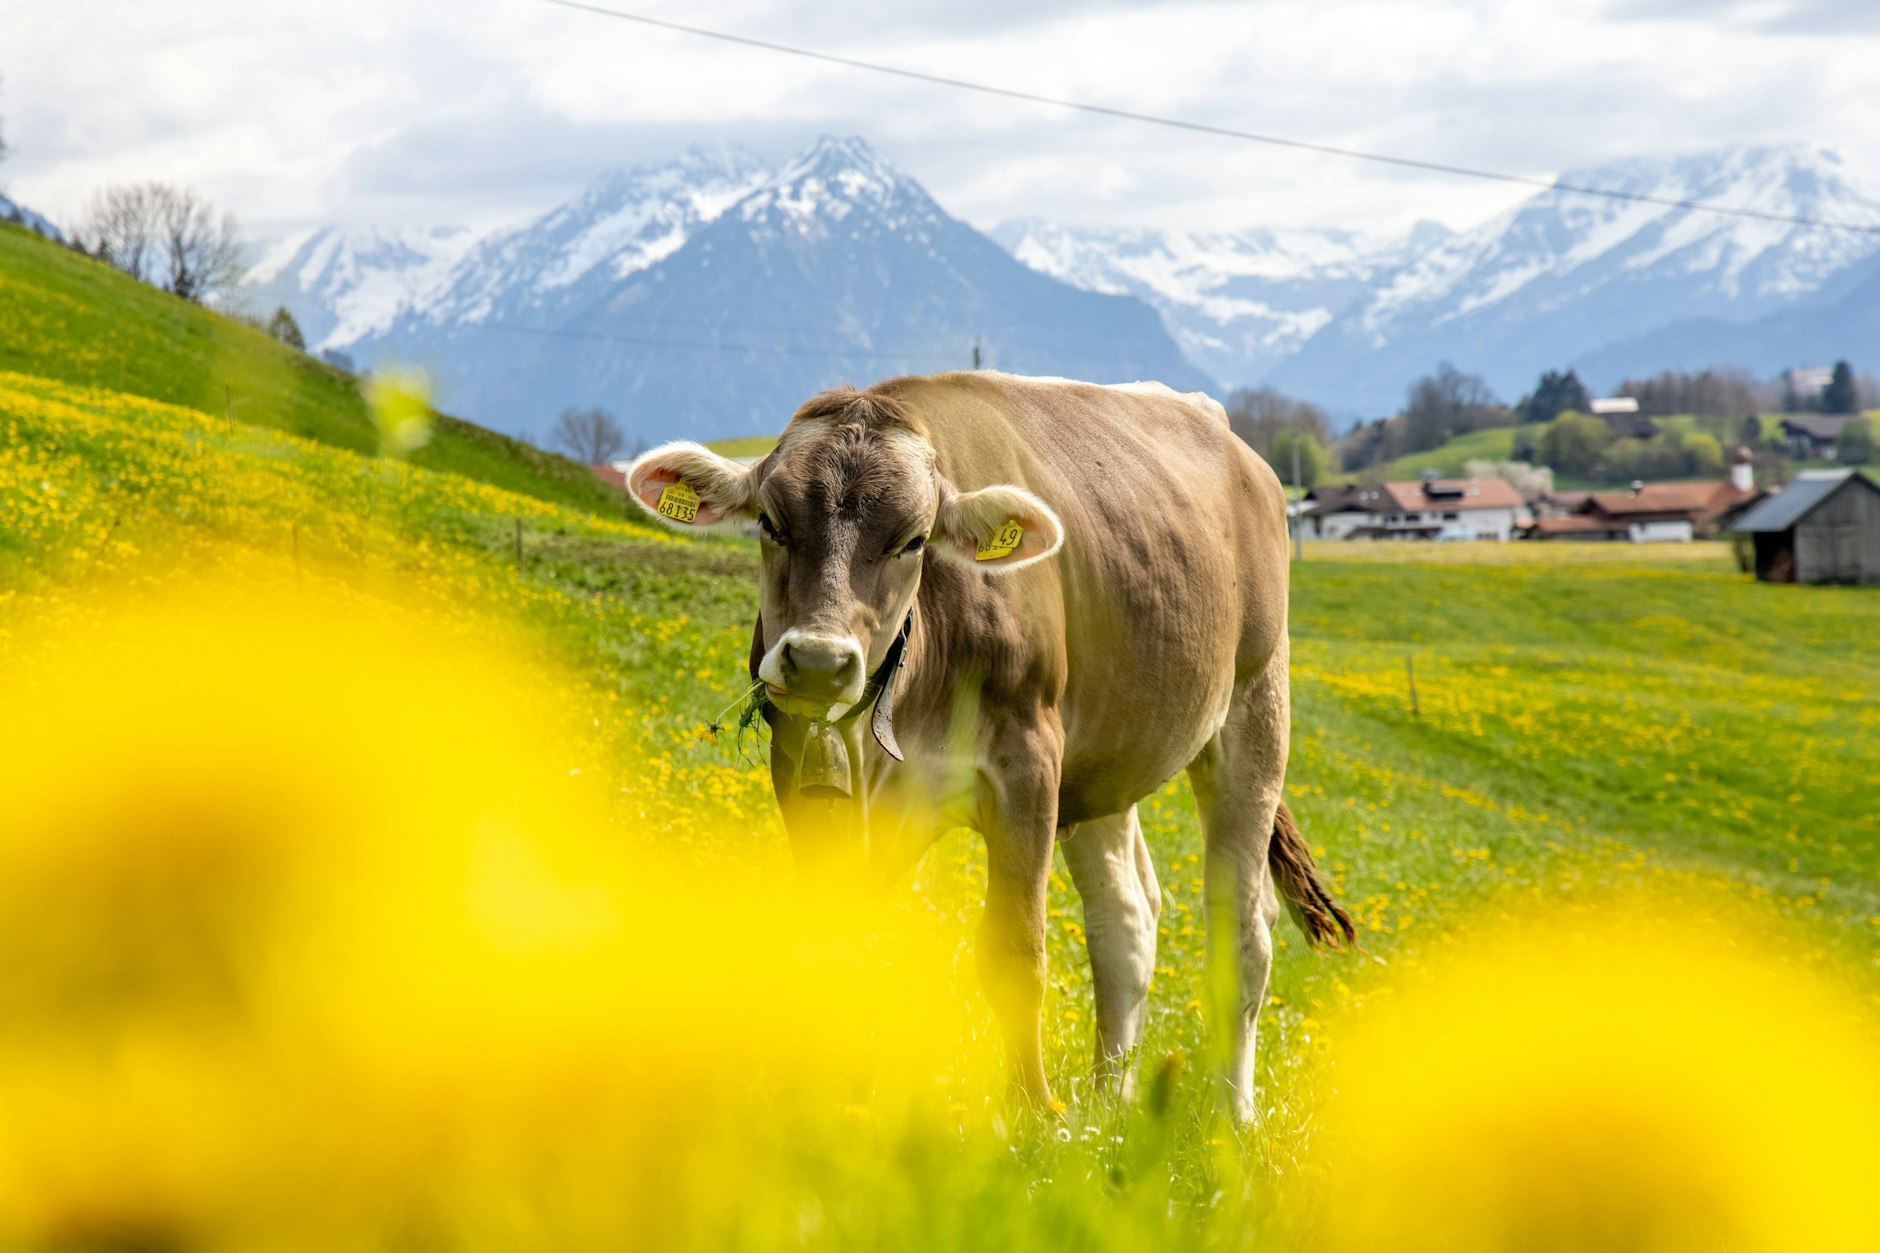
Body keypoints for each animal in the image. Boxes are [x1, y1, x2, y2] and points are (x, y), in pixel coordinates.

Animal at [625, 372, 1352, 1118]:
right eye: (771, 523)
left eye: (913, 539)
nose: (820, 662)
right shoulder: (805, 774)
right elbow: (838, 944)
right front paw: (837, 1104)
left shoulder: (1027, 765)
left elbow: (1014, 952)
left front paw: (1032, 1113)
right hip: (1103, 764)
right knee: (1126, 919)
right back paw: (1109, 1106)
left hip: (1254, 705)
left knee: (1243, 926)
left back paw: (1231, 1117)